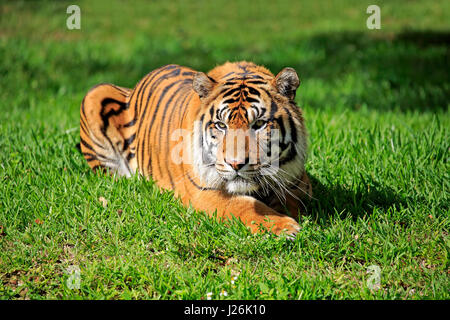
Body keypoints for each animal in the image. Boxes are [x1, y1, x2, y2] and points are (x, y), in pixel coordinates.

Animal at [79, 62, 312, 238]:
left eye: (260, 124)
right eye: (221, 125)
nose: (235, 164)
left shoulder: (298, 183)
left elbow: (292, 201)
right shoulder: (202, 192)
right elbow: (243, 205)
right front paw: (284, 226)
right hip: (95, 94)